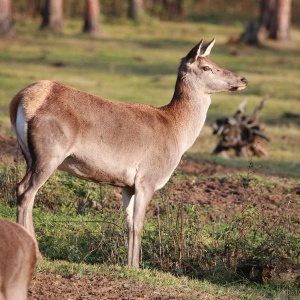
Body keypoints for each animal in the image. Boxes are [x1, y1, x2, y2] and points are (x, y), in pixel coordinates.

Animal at [9, 37, 248, 268]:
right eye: (207, 67)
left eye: (216, 62)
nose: (243, 79)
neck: (176, 132)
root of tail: (19, 100)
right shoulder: (147, 178)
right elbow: (139, 223)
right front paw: (136, 267)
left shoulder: (127, 185)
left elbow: (130, 223)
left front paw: (129, 264)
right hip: (50, 152)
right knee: (25, 190)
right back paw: (33, 253)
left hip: (28, 154)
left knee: (27, 191)